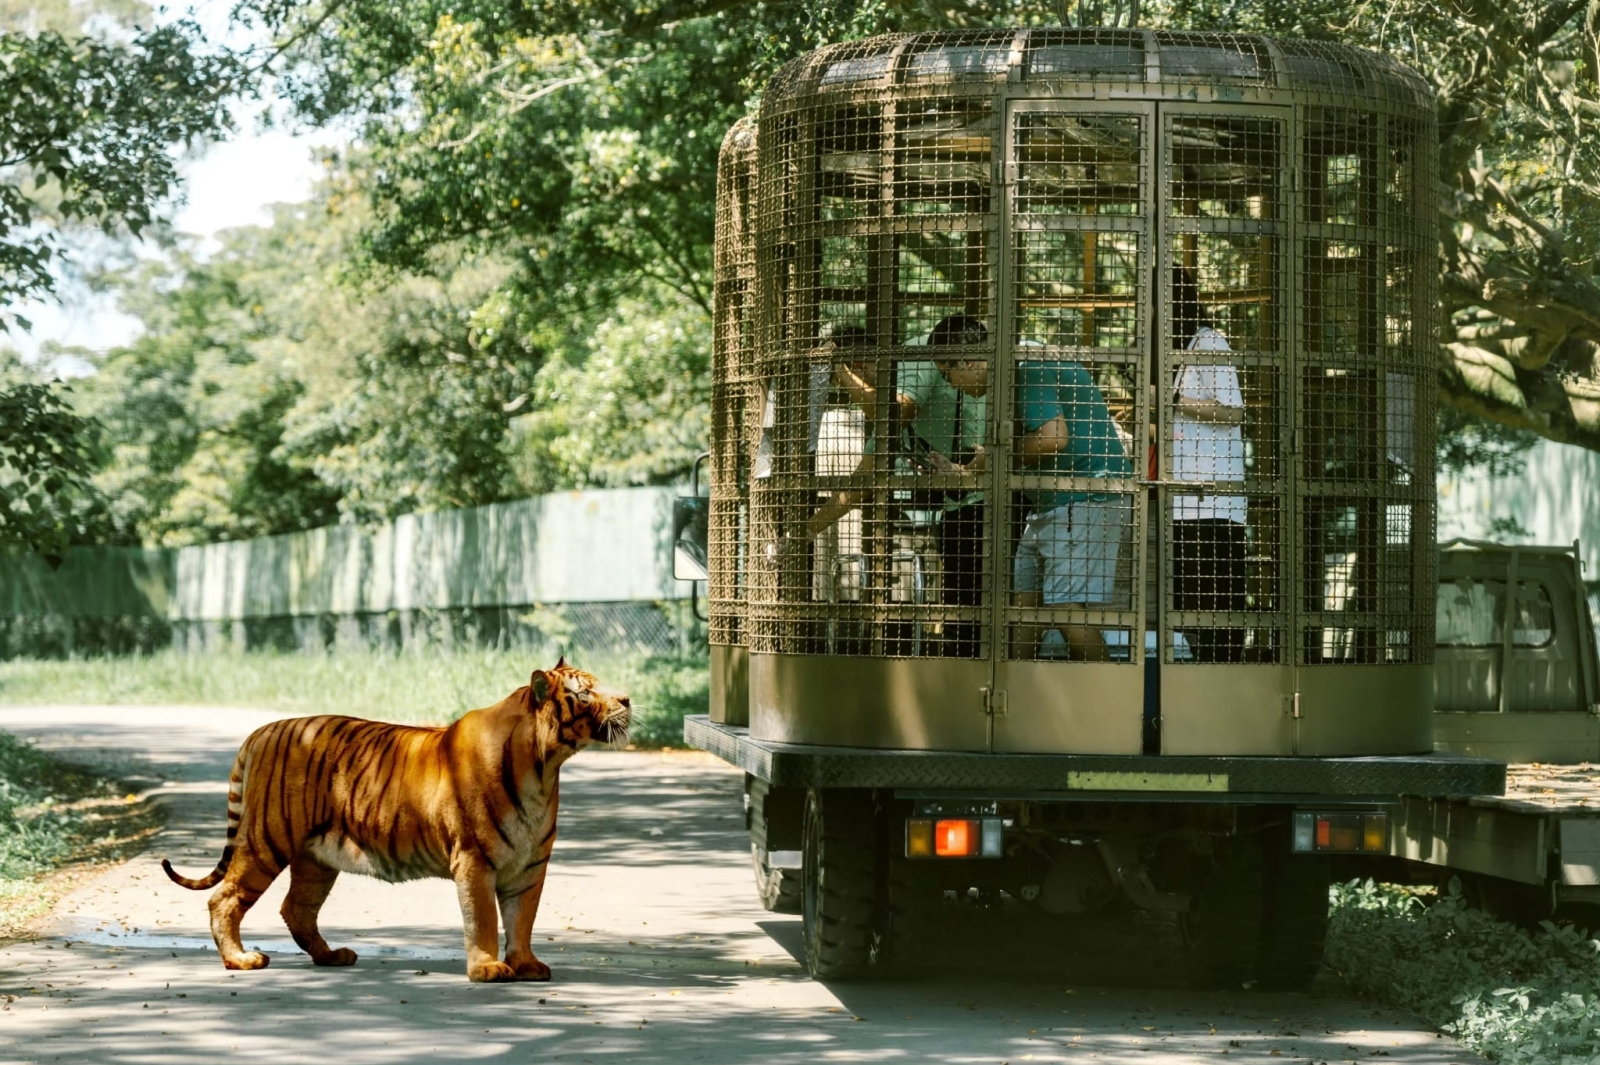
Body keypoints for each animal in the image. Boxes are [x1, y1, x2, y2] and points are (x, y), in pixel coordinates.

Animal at [162, 655, 630, 978]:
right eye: (586, 693)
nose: (627, 698)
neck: (544, 766)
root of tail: (261, 731)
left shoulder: (530, 865)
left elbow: (522, 918)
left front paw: (526, 964)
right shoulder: (475, 860)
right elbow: (483, 918)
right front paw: (487, 969)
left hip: (315, 859)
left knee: (296, 908)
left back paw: (331, 956)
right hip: (268, 840)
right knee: (225, 898)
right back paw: (241, 959)